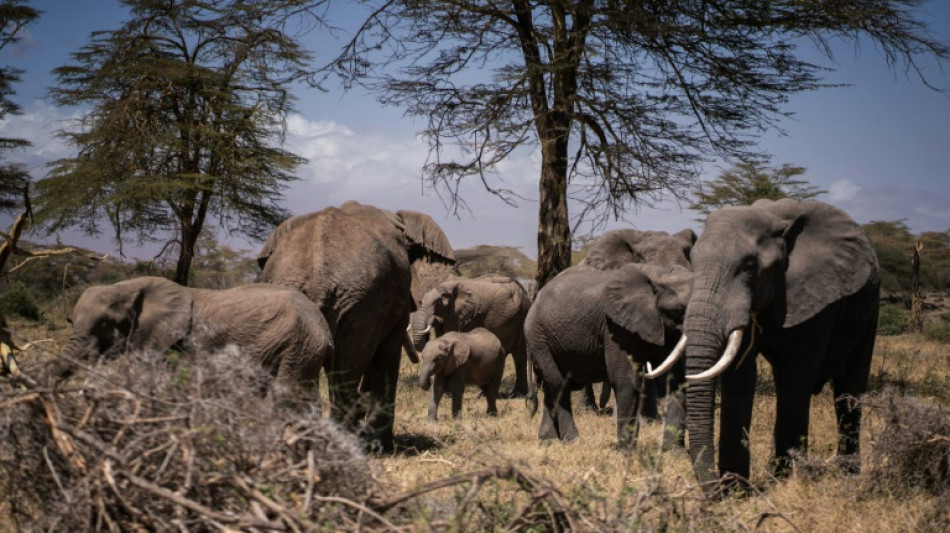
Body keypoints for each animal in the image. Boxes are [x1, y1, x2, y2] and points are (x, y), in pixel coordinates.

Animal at [63, 276, 333, 407]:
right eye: (70, 321)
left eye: (105, 325)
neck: (131, 286)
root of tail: (325, 328)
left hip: (300, 347)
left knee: (280, 397)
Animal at [525, 263, 693, 447]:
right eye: (680, 310)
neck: (658, 274)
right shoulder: (615, 328)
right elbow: (626, 379)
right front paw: (626, 450)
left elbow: (674, 379)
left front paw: (674, 451)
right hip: (539, 338)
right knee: (559, 383)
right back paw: (572, 441)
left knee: (551, 386)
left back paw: (548, 441)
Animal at [649, 198, 880, 491]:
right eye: (694, 264)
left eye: (749, 267)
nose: (713, 491)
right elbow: (740, 375)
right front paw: (736, 489)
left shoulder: (813, 298)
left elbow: (796, 374)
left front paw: (782, 481)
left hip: (870, 305)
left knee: (849, 389)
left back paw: (848, 475)